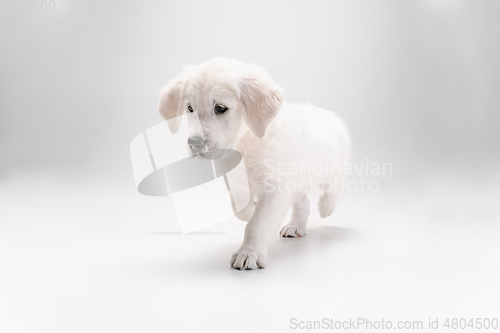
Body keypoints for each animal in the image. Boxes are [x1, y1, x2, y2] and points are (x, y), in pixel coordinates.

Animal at [158, 57, 350, 270]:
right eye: (190, 108)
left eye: (220, 108)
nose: (194, 143)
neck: (245, 144)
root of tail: (330, 115)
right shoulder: (237, 182)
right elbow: (240, 209)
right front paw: (251, 209)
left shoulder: (275, 188)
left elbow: (258, 222)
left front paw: (249, 252)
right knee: (303, 202)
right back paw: (295, 226)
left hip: (336, 164)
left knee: (332, 187)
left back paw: (326, 208)